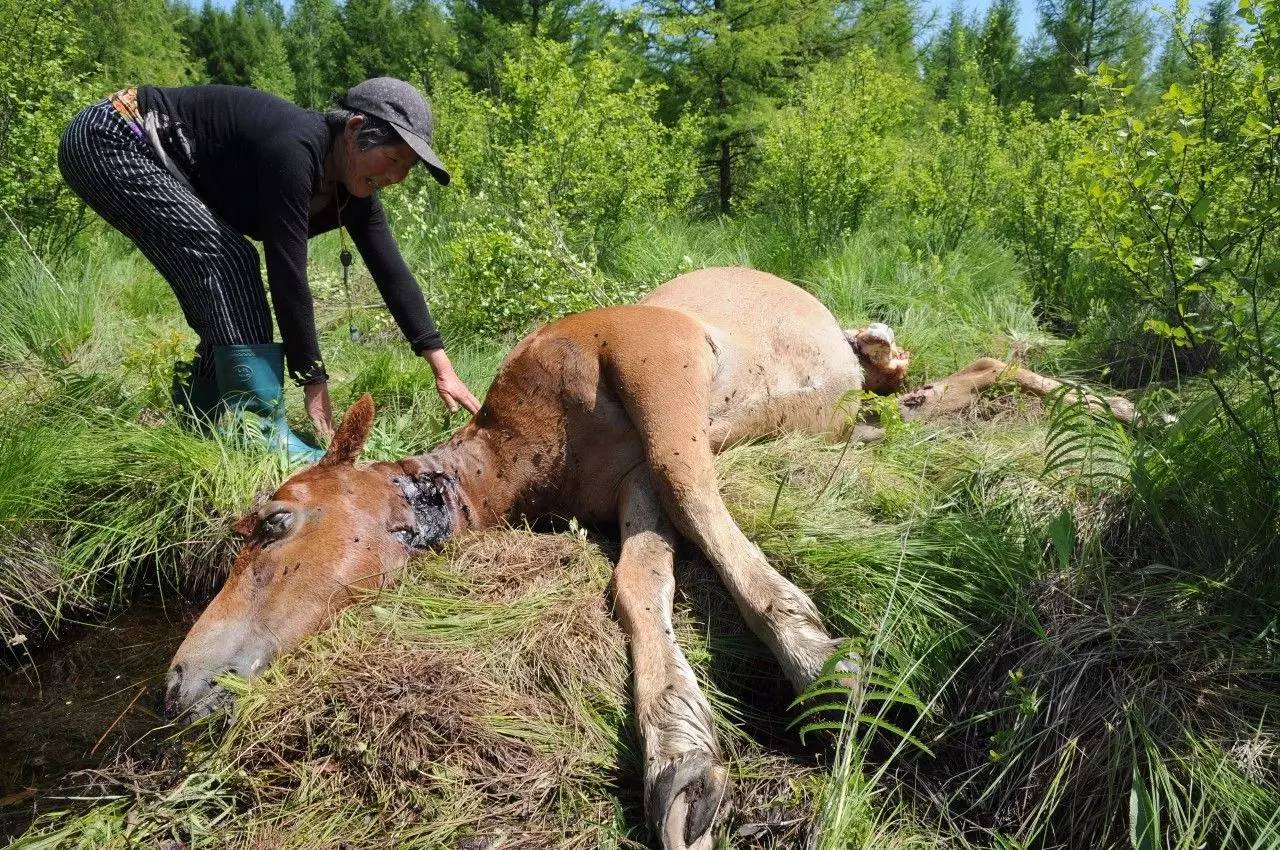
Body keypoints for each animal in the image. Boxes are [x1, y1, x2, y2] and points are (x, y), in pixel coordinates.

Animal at [165, 266, 1136, 850]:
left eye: (275, 522)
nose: (179, 681)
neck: (526, 447)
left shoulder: (654, 363)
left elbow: (696, 495)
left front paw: (824, 667)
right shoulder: (630, 488)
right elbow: (640, 582)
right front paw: (683, 755)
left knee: (986, 362)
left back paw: (1131, 410)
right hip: (868, 414)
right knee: (969, 374)